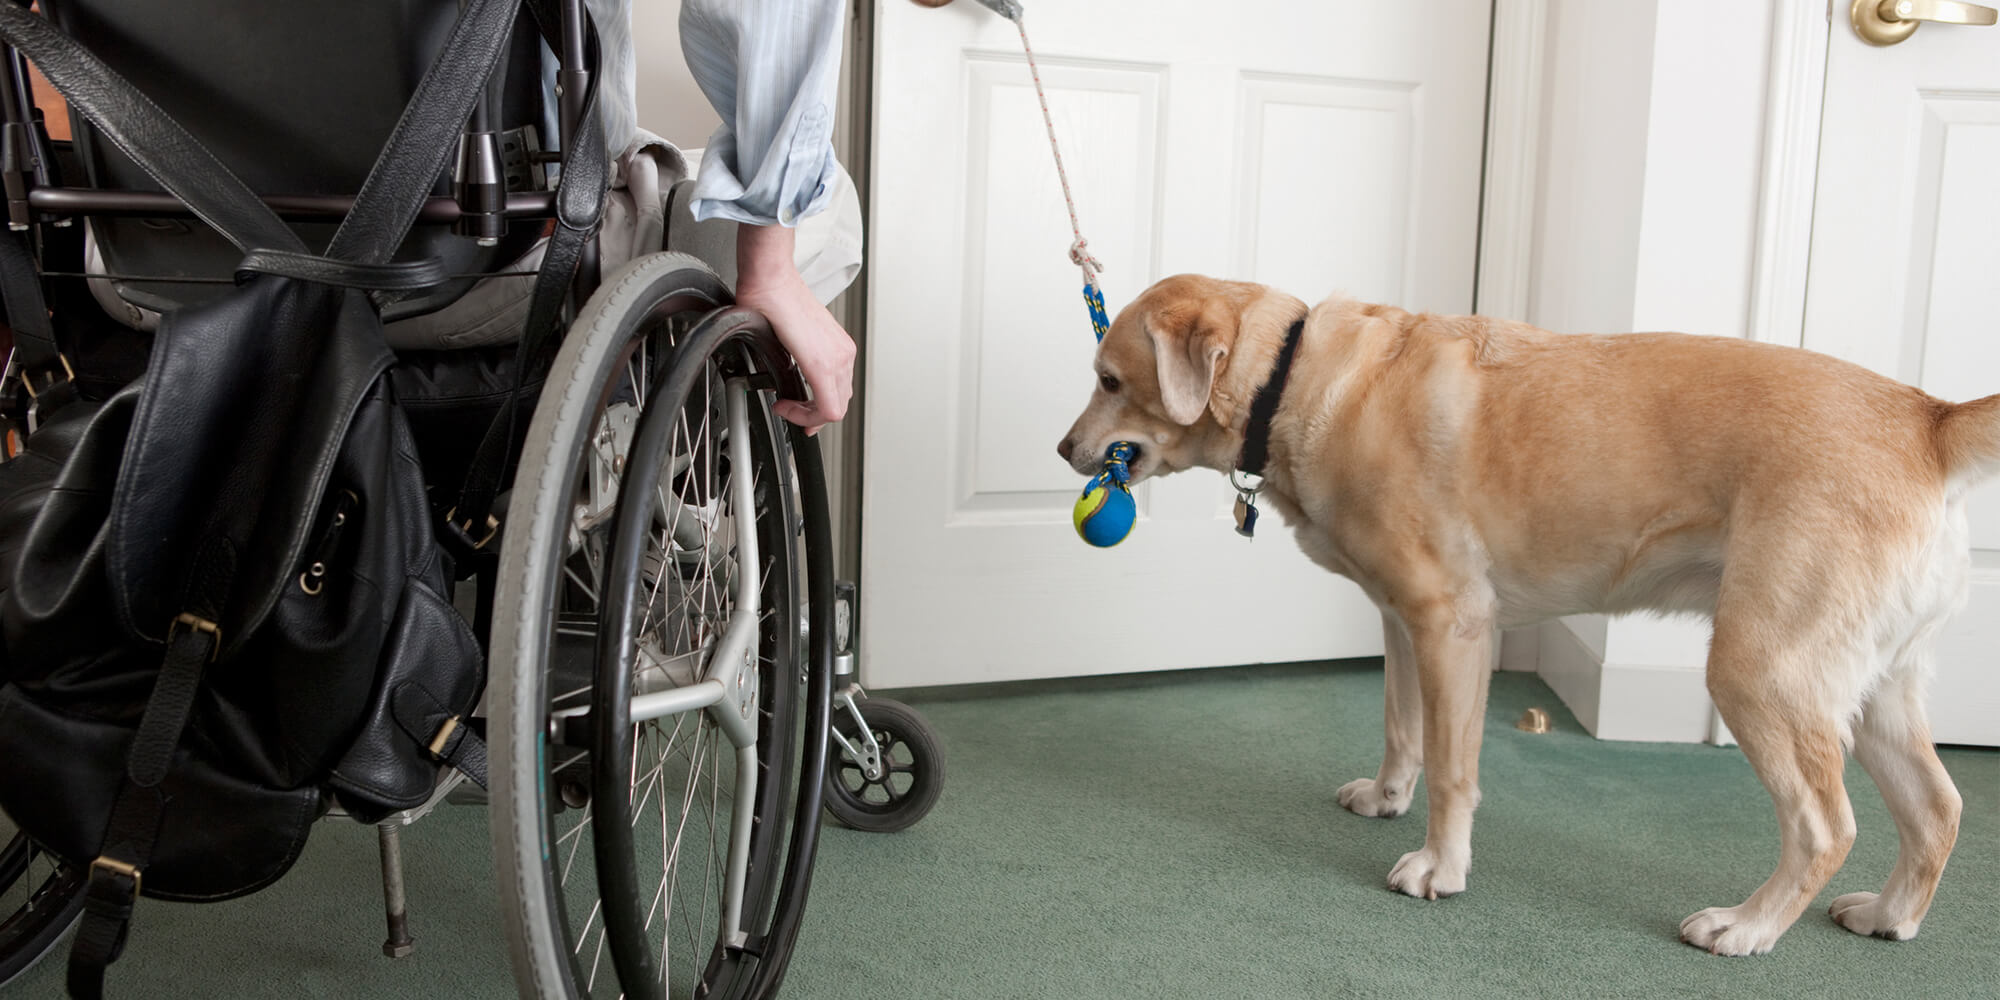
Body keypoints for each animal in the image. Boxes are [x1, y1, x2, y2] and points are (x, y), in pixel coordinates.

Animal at [1056, 272, 1976, 952]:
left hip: (1759, 671)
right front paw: (1387, 796)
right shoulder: (1401, 622)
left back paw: (1749, 926)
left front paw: (1439, 866)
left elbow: (1451, 768)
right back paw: (1890, 915)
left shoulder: (1452, 623)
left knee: (1825, 826)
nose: (1063, 450)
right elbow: (1402, 728)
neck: (1296, 381)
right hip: (1874, 688)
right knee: (1938, 809)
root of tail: (1929, 418)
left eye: (1109, 380)